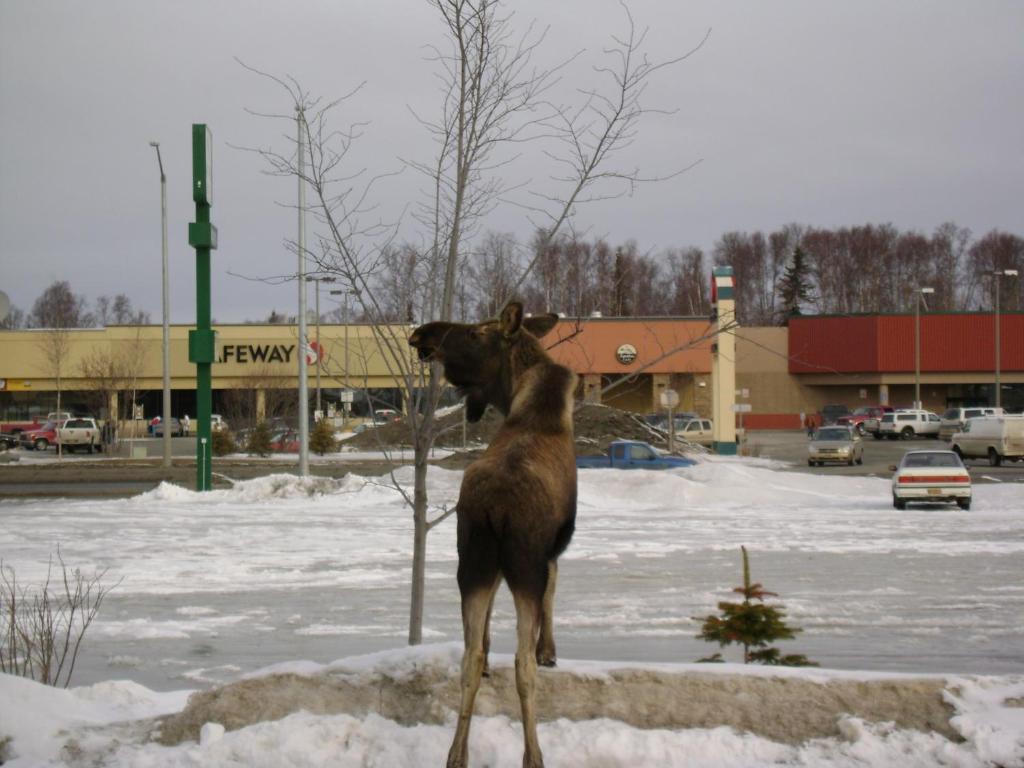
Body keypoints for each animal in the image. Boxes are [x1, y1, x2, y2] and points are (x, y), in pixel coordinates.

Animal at [409, 303, 585, 768]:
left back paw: (457, 754)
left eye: (474, 333)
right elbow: (554, 589)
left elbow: (484, 633)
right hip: (523, 566)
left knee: (468, 660)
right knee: (522, 665)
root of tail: (496, 508)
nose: (420, 335)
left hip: (471, 559)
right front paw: (549, 651)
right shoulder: (553, 547)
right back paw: (533, 754)